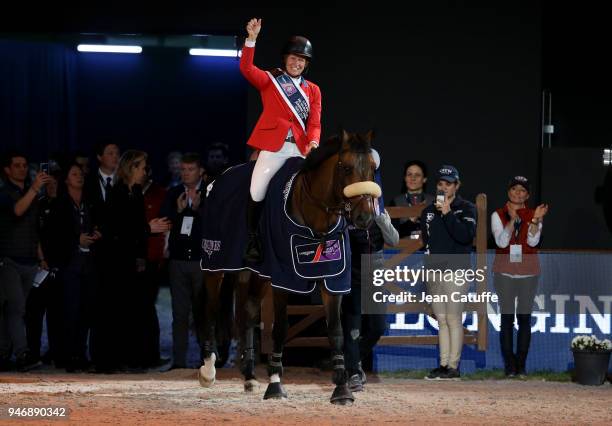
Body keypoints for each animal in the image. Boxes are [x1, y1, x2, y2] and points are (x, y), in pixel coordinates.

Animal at [198, 131, 380, 406]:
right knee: (210, 308)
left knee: (248, 311)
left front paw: (342, 389)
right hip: (215, 263)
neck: (316, 217)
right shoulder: (284, 280)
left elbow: (336, 331)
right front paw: (275, 384)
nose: (365, 218)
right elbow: (281, 329)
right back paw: (208, 370)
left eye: (372, 168)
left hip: (258, 273)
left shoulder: (332, 278)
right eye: (347, 168)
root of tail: (217, 180)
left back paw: (249, 376)